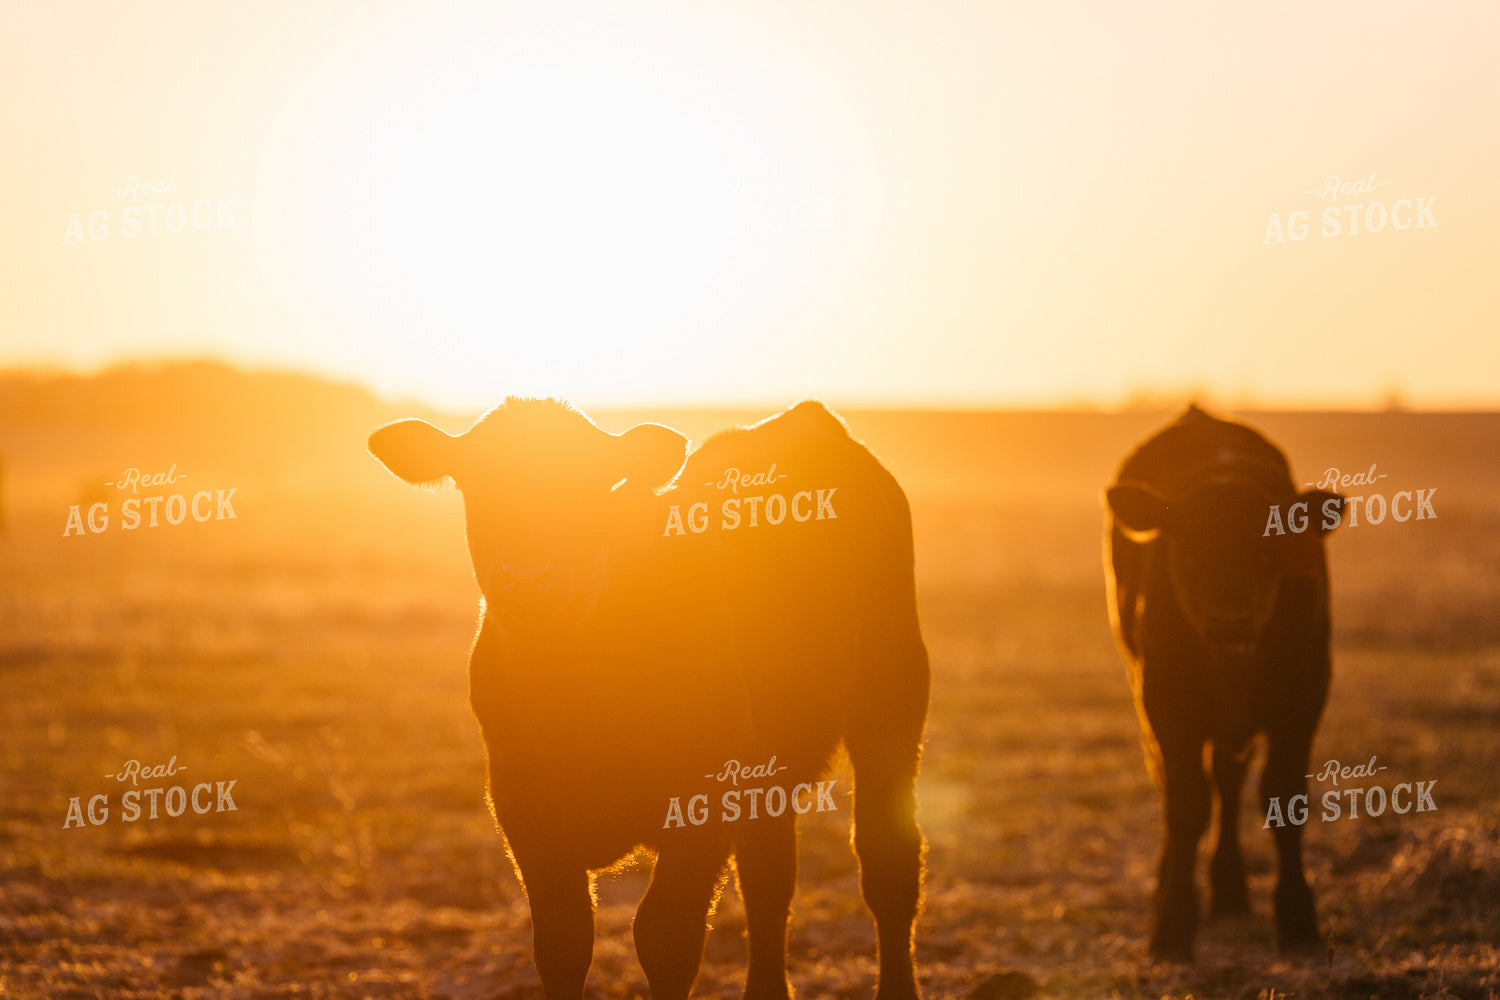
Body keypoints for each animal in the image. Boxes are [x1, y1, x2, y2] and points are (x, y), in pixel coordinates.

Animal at [368, 398, 929, 1000]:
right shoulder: (522, 804)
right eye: (476, 488)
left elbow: (666, 937)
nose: (529, 579)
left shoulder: (703, 802)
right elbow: (563, 942)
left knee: (888, 863)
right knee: (770, 880)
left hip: (893, 701)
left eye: (589, 489)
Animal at [1103, 405, 1342, 960]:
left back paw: (1230, 889)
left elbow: (1284, 797)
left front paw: (1297, 920)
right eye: (1188, 550)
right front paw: (1171, 925)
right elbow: (1186, 804)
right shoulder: (1164, 699)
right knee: (1182, 784)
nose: (1229, 619)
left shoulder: (1306, 691)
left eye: (1266, 552)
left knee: (1229, 782)